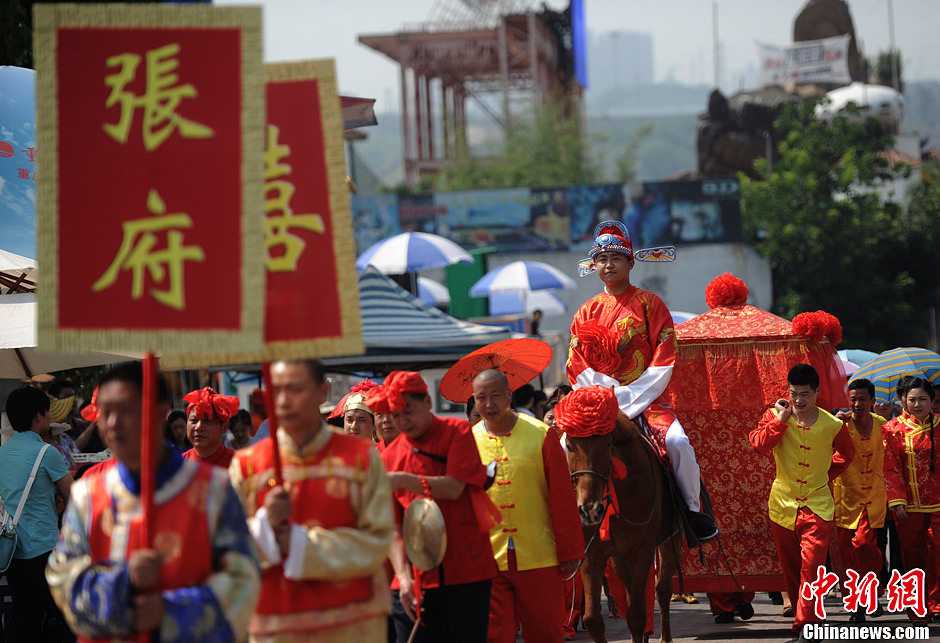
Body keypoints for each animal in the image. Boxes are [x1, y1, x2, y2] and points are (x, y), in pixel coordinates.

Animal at [560, 416, 688, 643]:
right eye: (569, 445)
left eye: (607, 444)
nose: (589, 509)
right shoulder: (591, 556)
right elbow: (593, 620)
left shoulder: (642, 553)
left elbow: (636, 616)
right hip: (619, 558)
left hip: (672, 540)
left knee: (662, 589)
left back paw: (664, 637)